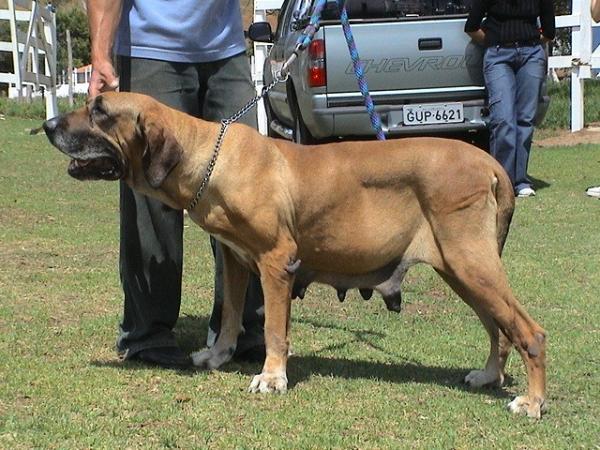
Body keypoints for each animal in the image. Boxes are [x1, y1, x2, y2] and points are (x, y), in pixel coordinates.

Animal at [42, 92, 548, 418]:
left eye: (100, 111)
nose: (47, 126)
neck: (208, 158)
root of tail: (490, 163)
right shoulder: (234, 259)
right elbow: (229, 316)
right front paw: (218, 356)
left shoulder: (275, 261)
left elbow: (273, 330)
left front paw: (272, 378)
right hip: (462, 271)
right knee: (500, 329)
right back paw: (488, 376)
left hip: (470, 263)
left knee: (529, 332)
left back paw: (532, 401)